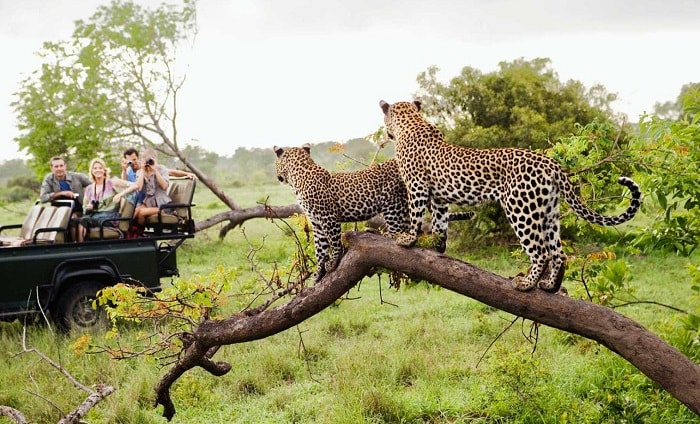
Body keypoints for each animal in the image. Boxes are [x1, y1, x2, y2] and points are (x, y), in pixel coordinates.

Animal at [276, 143, 474, 282]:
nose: (278, 177)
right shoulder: (316, 223)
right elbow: (320, 249)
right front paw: (318, 273)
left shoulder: (328, 218)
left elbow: (334, 242)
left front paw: (333, 262)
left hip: (393, 202)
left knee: (398, 231)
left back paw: (381, 233)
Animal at [380, 99, 644, 294]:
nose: (386, 133)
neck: (412, 122)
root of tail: (552, 164)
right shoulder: (439, 197)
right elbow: (440, 222)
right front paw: (438, 245)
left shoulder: (417, 185)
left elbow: (416, 214)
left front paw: (408, 239)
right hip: (548, 212)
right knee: (559, 253)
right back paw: (549, 286)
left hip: (520, 209)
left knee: (541, 252)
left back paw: (526, 284)